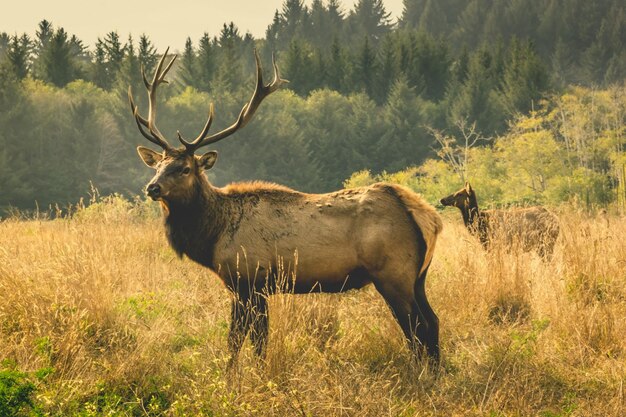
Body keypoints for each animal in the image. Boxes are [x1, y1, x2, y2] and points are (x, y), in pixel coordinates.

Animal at [129, 48, 442, 360]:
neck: (212, 237)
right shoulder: (251, 287)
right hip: (418, 277)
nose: (152, 187)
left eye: (184, 169)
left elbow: (245, 340)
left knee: (417, 327)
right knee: (433, 321)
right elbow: (247, 339)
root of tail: (428, 217)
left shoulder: (249, 281)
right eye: (157, 165)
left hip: (393, 274)